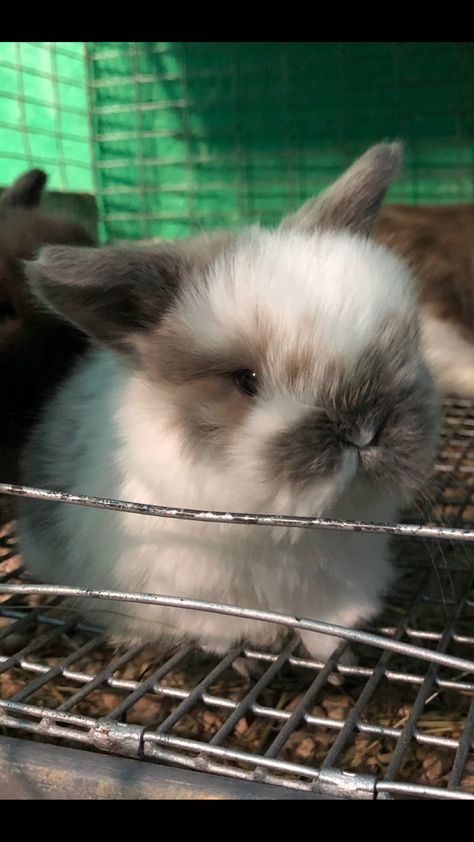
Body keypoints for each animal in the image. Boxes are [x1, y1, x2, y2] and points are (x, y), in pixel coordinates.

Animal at [18, 143, 440, 656]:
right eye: (246, 380)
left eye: (405, 346)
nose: (364, 430)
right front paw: (243, 644)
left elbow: (325, 620)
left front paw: (330, 644)